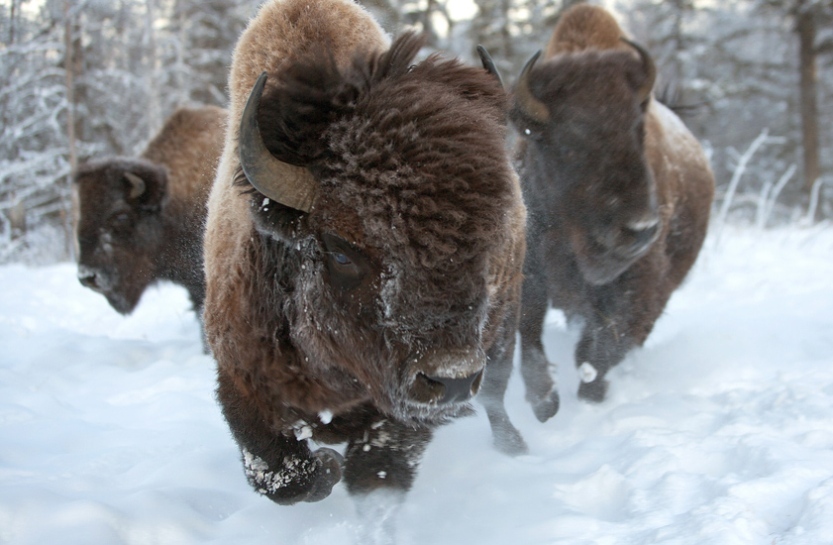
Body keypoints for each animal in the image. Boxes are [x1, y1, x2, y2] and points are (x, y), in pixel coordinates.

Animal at [202, 0, 528, 536]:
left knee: (497, 399)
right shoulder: (239, 377)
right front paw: (325, 466)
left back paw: (514, 449)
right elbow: (283, 473)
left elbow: (377, 476)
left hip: (500, 339)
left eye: (487, 242)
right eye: (341, 250)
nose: (453, 377)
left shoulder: (401, 410)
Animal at [508, 4, 716, 414]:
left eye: (638, 129)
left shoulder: (638, 284)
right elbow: (531, 337)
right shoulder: (532, 272)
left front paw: (590, 396)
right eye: (569, 144)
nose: (640, 229)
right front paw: (544, 402)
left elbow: (601, 349)